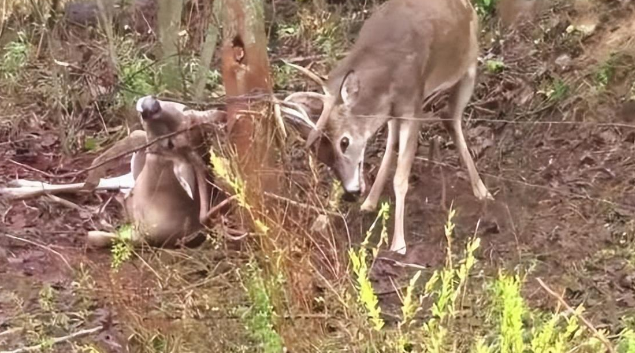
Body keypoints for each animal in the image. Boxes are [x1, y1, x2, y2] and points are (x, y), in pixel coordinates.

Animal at [286, 0, 494, 254]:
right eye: (320, 154)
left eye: (344, 142)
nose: (351, 192)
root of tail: (467, 5)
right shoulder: (394, 109)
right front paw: (362, 205)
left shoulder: (412, 107)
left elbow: (401, 177)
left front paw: (398, 243)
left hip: (469, 66)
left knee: (451, 118)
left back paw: (482, 190)